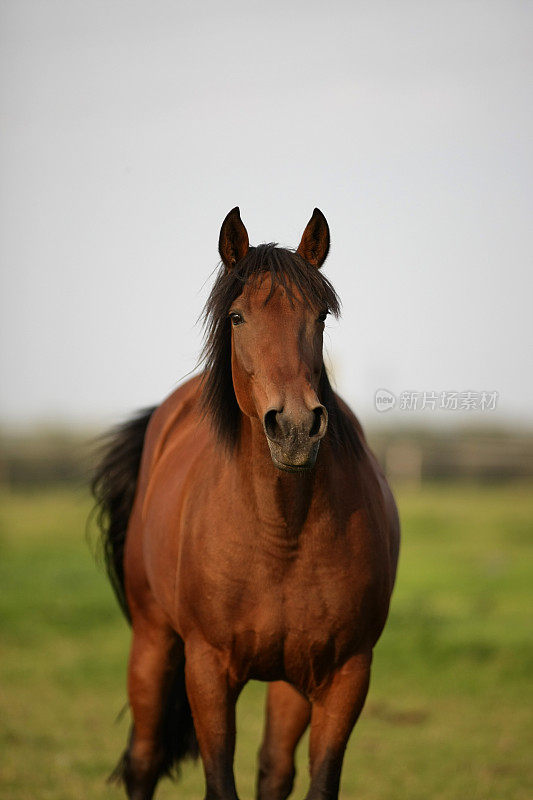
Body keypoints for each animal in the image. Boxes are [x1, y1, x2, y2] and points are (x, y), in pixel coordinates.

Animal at [92, 208, 400, 800]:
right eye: (236, 317)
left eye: (320, 317)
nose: (297, 428)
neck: (282, 531)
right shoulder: (208, 670)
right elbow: (219, 780)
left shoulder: (344, 674)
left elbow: (317, 781)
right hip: (153, 641)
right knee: (143, 760)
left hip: (291, 679)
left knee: (273, 769)